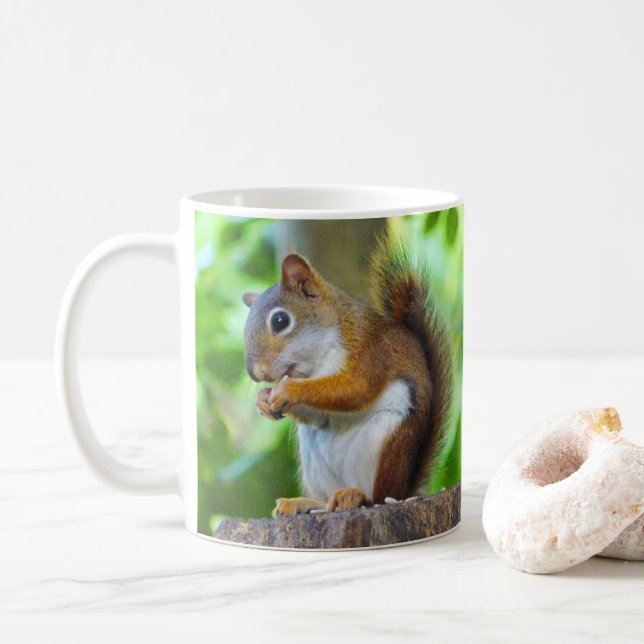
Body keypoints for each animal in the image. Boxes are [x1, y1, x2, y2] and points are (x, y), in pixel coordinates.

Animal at [241, 239, 452, 516]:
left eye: (280, 320)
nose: (257, 373)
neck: (316, 360)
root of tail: (403, 490)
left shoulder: (370, 349)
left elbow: (355, 389)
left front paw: (288, 391)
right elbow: (319, 415)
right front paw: (263, 400)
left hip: (380, 440)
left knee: (375, 497)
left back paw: (355, 496)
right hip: (314, 455)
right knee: (326, 499)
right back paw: (305, 502)